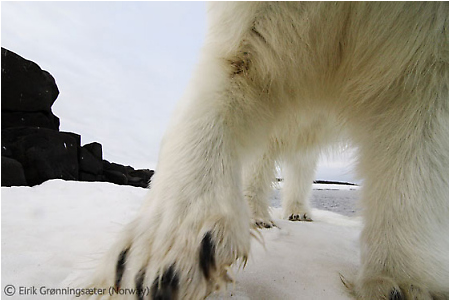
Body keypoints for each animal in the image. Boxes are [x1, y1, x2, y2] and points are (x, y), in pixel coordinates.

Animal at [89, 2, 446, 300]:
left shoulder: (424, 35)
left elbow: (421, 132)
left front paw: (400, 283)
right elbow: (237, 65)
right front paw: (158, 261)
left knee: (303, 160)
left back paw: (299, 211)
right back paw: (259, 215)